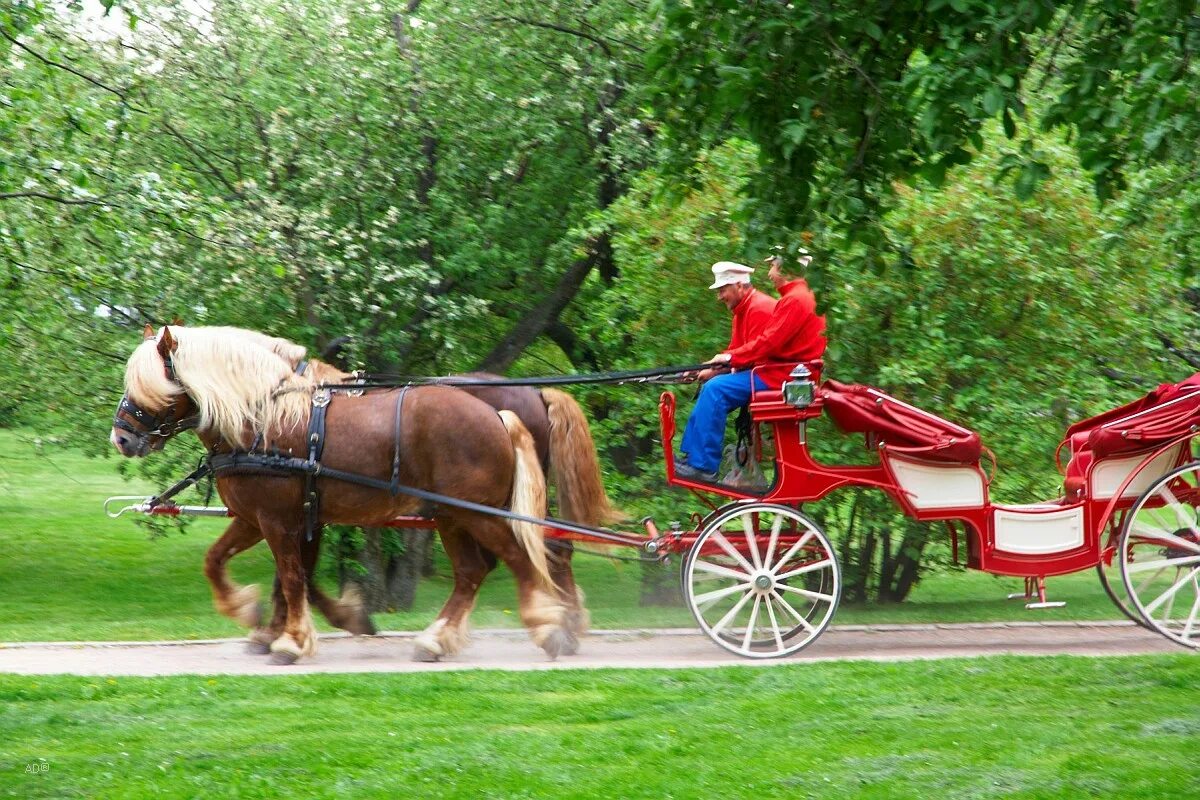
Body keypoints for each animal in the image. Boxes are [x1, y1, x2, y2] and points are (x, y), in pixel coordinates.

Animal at [112, 326, 571, 662]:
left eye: (150, 383)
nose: (121, 438)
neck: (264, 423)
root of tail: (497, 415)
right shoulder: (264, 519)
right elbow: (222, 562)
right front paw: (256, 615)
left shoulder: (278, 521)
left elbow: (292, 577)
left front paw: (292, 640)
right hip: (452, 516)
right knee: (473, 573)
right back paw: (437, 639)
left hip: (478, 514)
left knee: (521, 560)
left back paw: (550, 627)